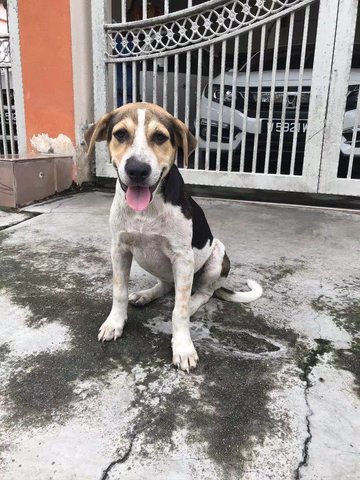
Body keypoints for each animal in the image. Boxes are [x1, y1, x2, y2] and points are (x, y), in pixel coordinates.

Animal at [87, 101, 262, 372]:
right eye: (120, 134)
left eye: (160, 137)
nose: (137, 170)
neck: (147, 209)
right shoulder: (119, 249)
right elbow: (119, 292)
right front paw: (114, 323)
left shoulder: (183, 258)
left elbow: (178, 311)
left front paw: (183, 348)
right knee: (166, 285)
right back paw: (145, 295)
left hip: (217, 255)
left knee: (202, 293)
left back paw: (191, 303)